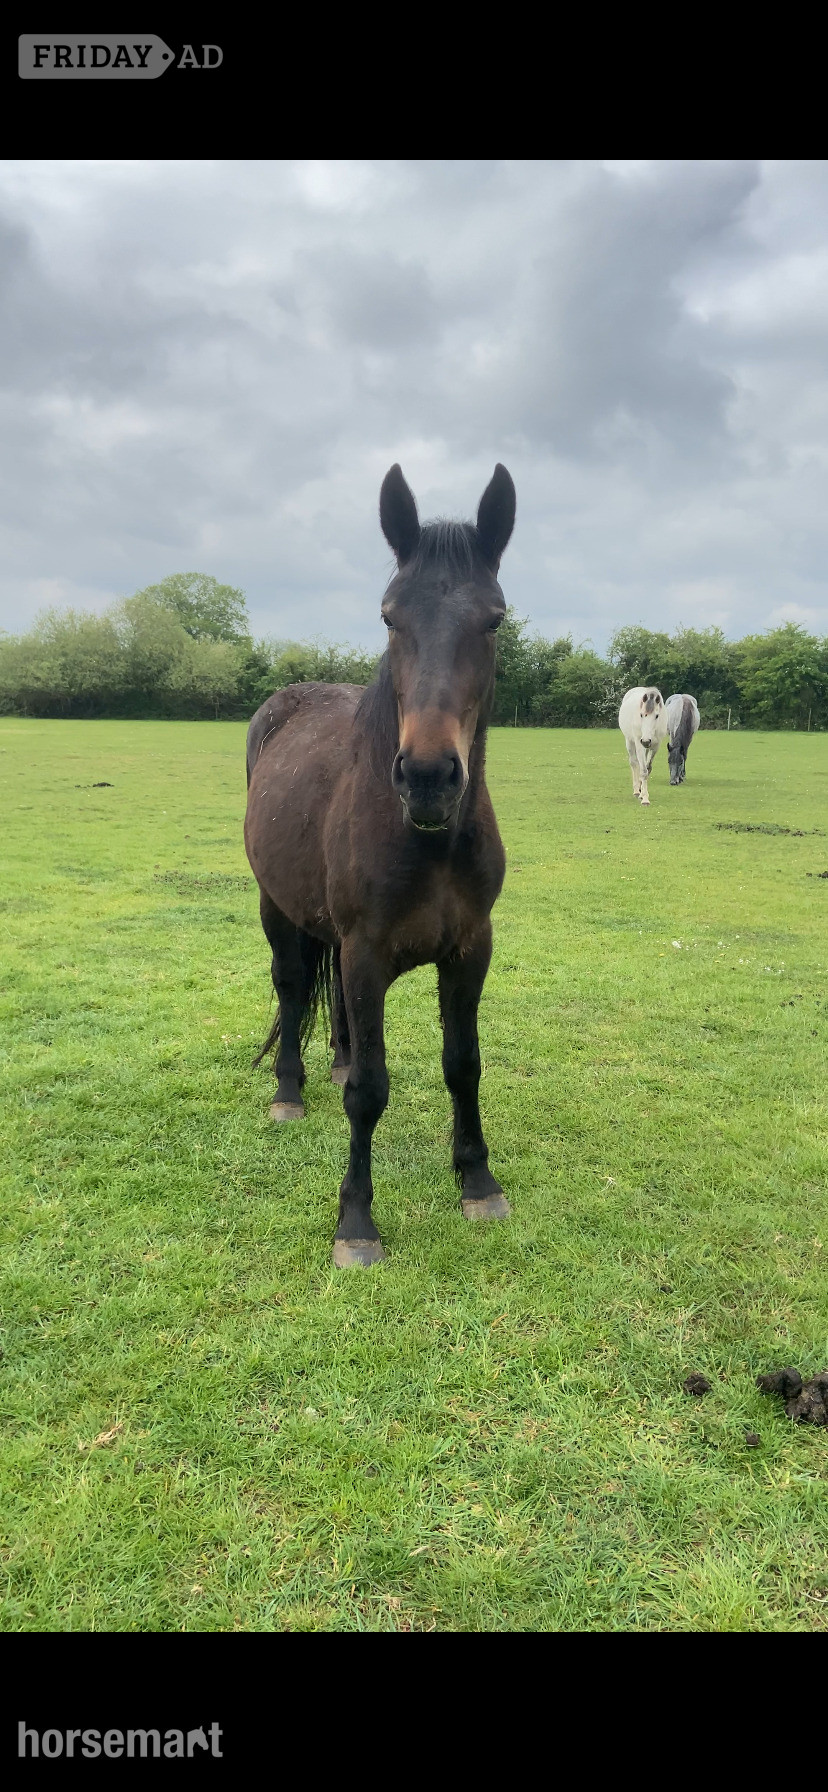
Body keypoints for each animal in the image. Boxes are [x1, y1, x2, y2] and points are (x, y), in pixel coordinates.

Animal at [244, 463, 517, 1267]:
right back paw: (290, 1091)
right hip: (275, 906)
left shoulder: (470, 948)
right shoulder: (366, 953)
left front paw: (477, 1180)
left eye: (494, 620)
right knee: (293, 985)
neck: (426, 840)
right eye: (391, 617)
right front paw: (356, 1222)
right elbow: (369, 1089)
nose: (427, 775)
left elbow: (464, 1063)